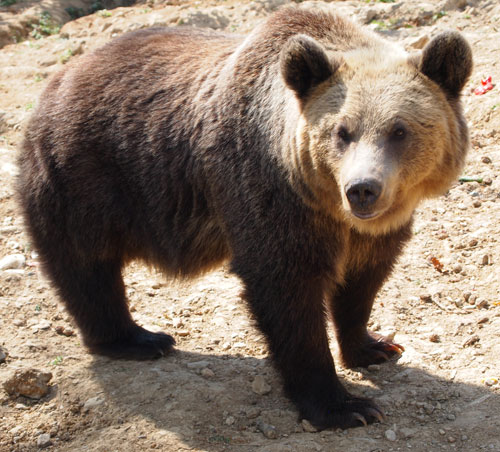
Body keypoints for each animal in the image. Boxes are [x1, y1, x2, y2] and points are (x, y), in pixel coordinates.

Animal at [16, 7, 472, 430]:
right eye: (342, 131)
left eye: (399, 130)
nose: (362, 188)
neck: (328, 207)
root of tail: (57, 81)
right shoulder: (270, 195)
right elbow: (286, 292)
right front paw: (344, 407)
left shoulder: (371, 230)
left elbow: (363, 280)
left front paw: (375, 346)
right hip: (84, 176)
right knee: (86, 266)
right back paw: (139, 339)